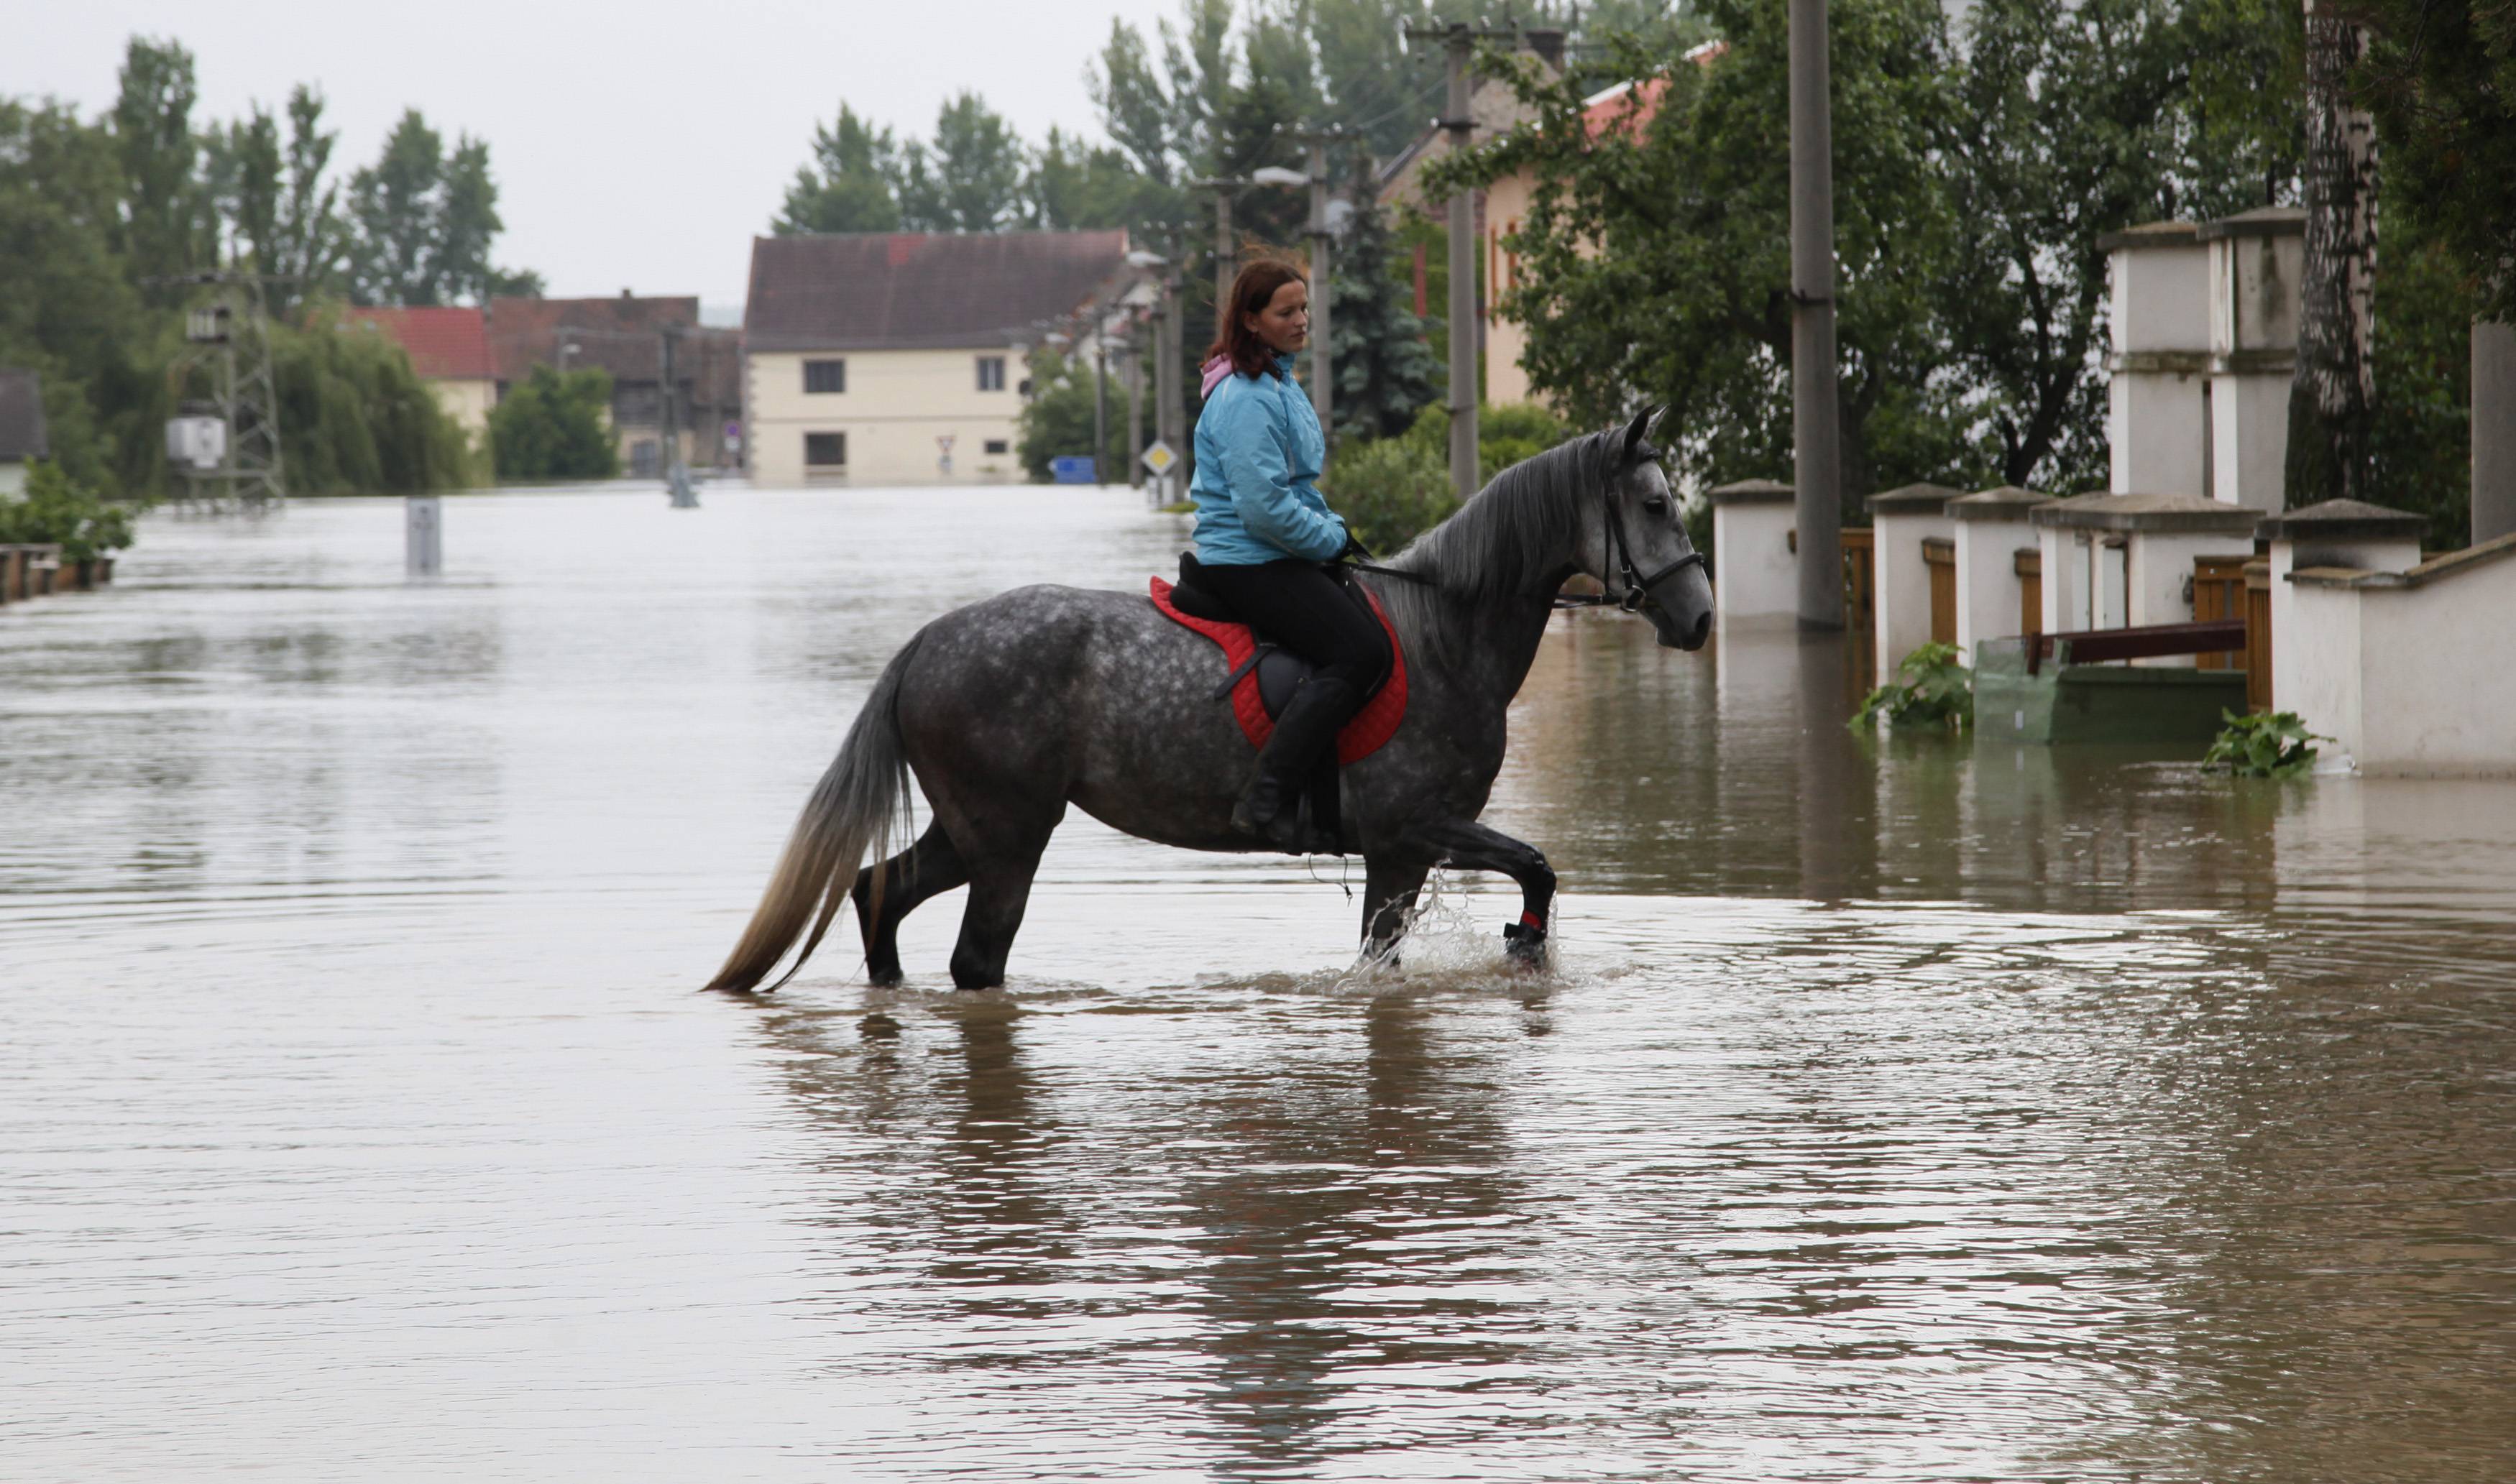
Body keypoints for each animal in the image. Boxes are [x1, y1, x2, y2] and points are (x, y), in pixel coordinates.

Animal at [720, 407, 1721, 996]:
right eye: (1654, 502)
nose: (1701, 618)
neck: (1444, 634)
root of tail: (929, 640)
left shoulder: (1397, 855)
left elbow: (1384, 955)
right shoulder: (1417, 827)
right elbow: (1538, 867)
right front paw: (1524, 946)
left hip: (971, 827)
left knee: (876, 891)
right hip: (1007, 836)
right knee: (972, 958)